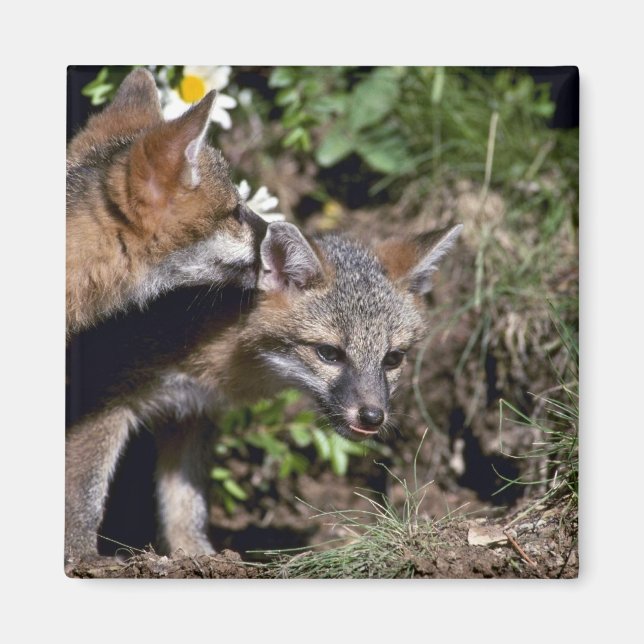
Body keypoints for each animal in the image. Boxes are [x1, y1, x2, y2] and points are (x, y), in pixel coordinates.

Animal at [65, 220, 462, 565]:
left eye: (393, 358)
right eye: (328, 353)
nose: (372, 416)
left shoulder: (190, 412)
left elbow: (184, 502)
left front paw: (195, 554)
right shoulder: (103, 398)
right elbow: (83, 491)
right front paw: (82, 555)